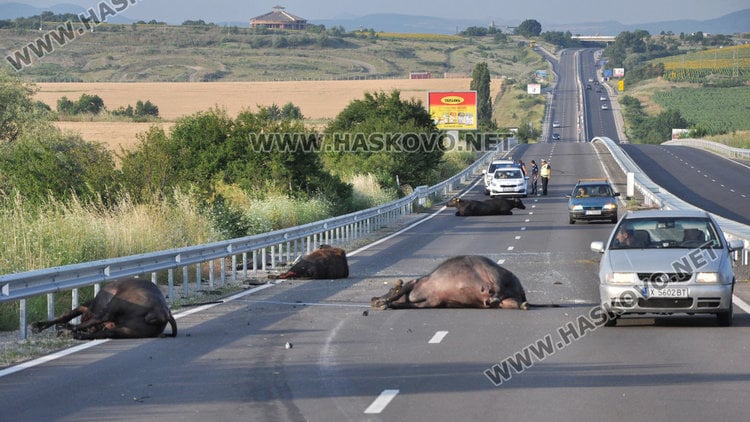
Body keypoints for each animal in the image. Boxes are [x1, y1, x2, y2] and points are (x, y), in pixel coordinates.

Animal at [32, 278, 178, 342]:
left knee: (94, 322)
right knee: (105, 333)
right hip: (127, 330)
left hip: (113, 307)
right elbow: (67, 316)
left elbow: (68, 316)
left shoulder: (90, 308)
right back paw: (75, 334)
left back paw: (66, 331)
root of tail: (163, 313)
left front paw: (39, 325)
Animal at [374, 254, 528, 310]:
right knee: (513, 303)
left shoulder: (414, 282)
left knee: (497, 287)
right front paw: (386, 304)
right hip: (508, 299)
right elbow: (409, 304)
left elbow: (400, 291)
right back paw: (522, 305)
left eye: (390, 289)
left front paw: (382, 302)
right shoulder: (431, 301)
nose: (373, 298)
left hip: (495, 273)